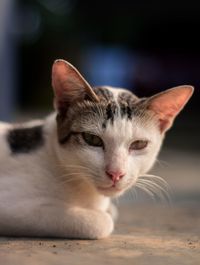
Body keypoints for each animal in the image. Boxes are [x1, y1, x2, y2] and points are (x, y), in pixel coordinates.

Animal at [0, 59, 194, 237]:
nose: (116, 173)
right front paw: (102, 216)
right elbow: (102, 222)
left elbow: (111, 212)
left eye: (139, 144)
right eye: (92, 139)